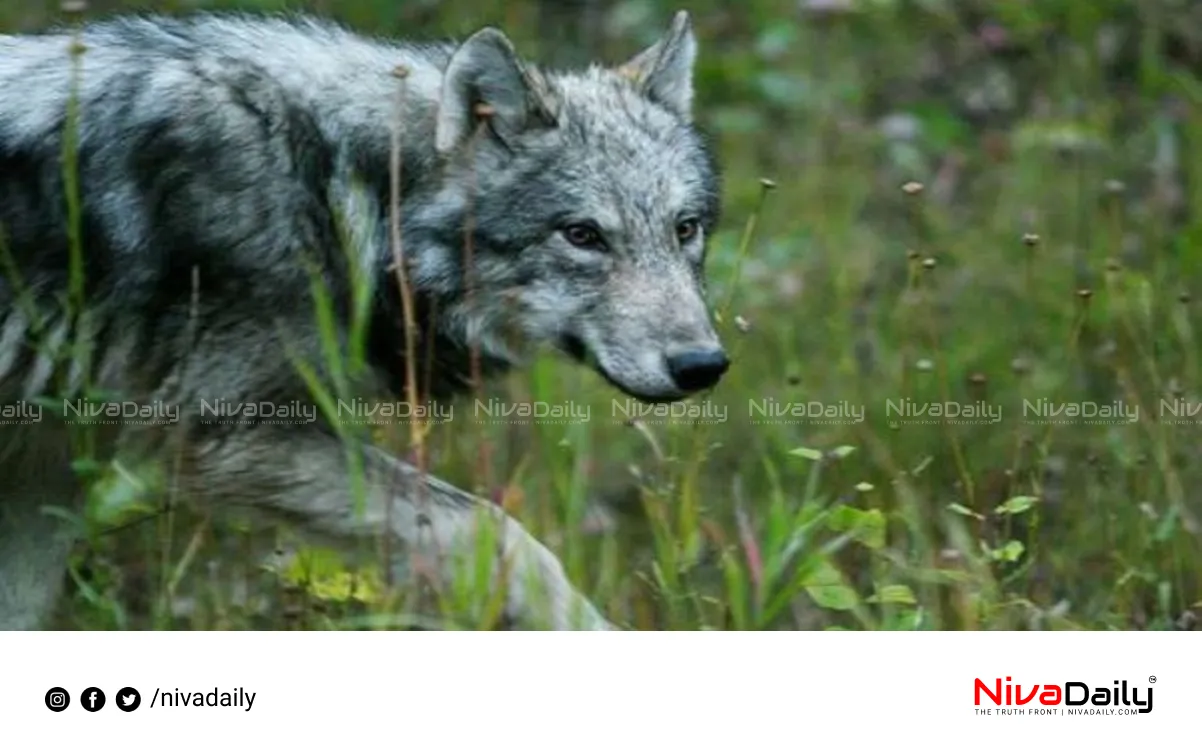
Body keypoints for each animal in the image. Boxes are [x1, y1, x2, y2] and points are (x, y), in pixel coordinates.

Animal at [0, 8, 721, 629]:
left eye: (685, 228)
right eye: (582, 235)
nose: (704, 365)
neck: (335, 188)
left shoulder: (46, 464)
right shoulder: (233, 435)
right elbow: (497, 531)